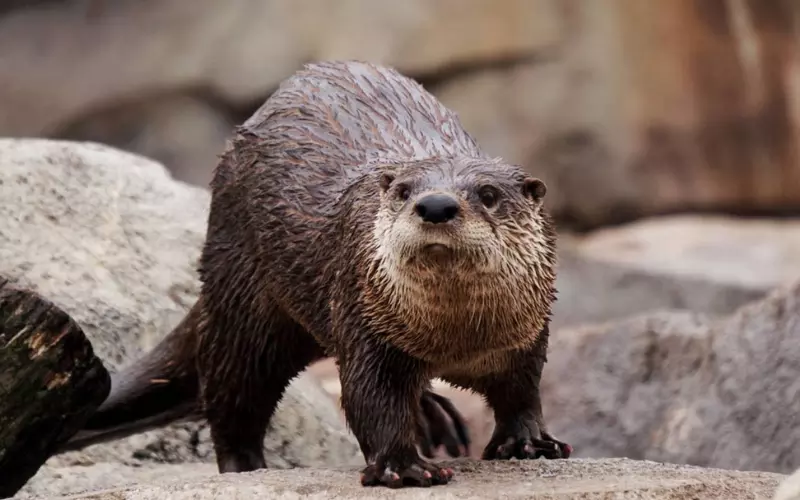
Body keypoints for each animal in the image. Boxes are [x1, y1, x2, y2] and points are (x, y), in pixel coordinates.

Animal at [65, 59, 572, 488]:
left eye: (487, 194)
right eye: (404, 190)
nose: (435, 205)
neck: (456, 339)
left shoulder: (528, 335)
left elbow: (523, 391)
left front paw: (530, 442)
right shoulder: (367, 325)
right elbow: (372, 399)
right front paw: (403, 466)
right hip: (244, 301)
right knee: (232, 392)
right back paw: (246, 467)